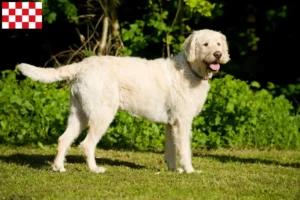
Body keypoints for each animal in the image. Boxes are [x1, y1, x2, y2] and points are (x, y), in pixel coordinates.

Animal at [18, 28, 230, 173]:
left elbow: (171, 150)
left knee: (63, 139)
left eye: (218, 44)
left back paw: (59, 167)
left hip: (79, 115)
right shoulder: (182, 121)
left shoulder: (171, 124)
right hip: (102, 115)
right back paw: (95, 170)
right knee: (87, 144)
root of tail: (82, 65)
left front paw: (173, 170)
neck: (190, 69)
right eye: (205, 44)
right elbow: (185, 149)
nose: (218, 55)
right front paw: (189, 170)